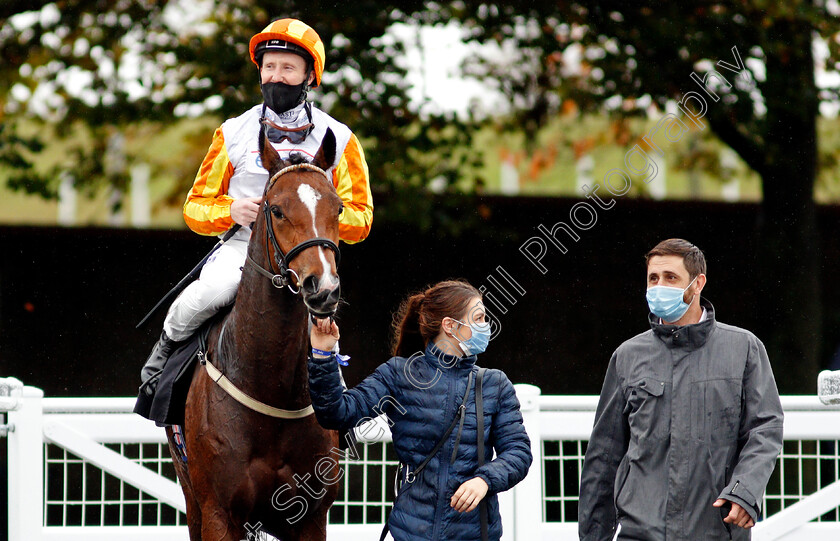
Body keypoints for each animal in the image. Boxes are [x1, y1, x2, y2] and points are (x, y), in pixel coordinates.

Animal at [166, 124, 342, 536]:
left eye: (338, 208)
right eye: (275, 209)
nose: (323, 287)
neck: (269, 386)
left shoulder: (311, 517)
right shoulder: (218, 512)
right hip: (190, 496)